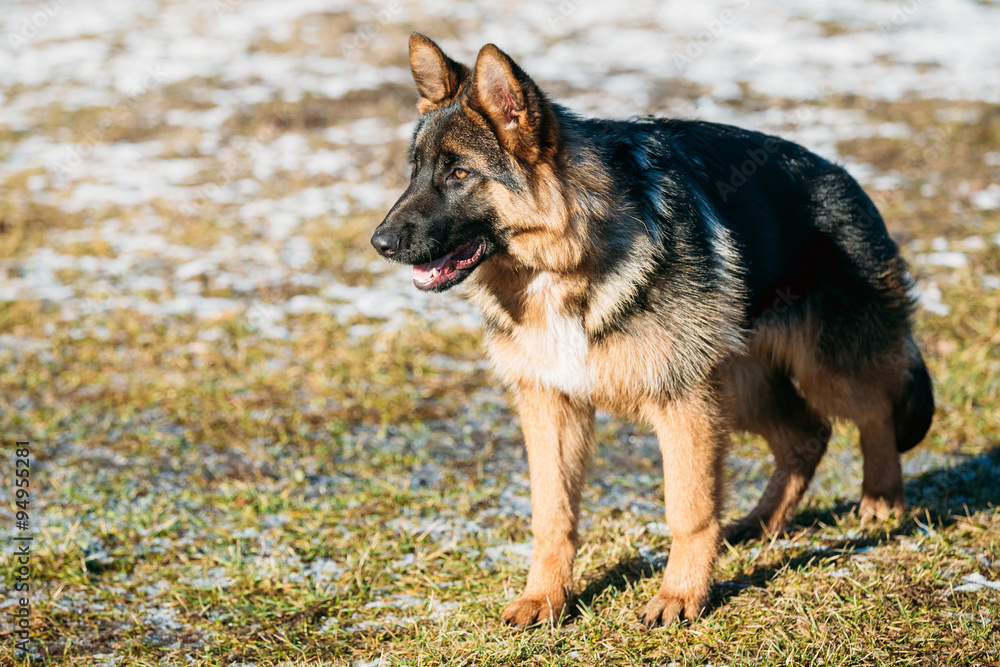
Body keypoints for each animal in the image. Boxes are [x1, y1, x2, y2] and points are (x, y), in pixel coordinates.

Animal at [372, 34, 932, 628]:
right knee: (808, 435)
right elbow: (552, 514)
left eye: (459, 174)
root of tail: (852, 185)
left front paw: (681, 595)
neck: (565, 265)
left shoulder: (683, 402)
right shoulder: (551, 405)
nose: (379, 243)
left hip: (820, 371)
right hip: (740, 387)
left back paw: (881, 500)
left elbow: (689, 509)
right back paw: (761, 523)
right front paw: (545, 597)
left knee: (874, 411)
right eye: (415, 171)